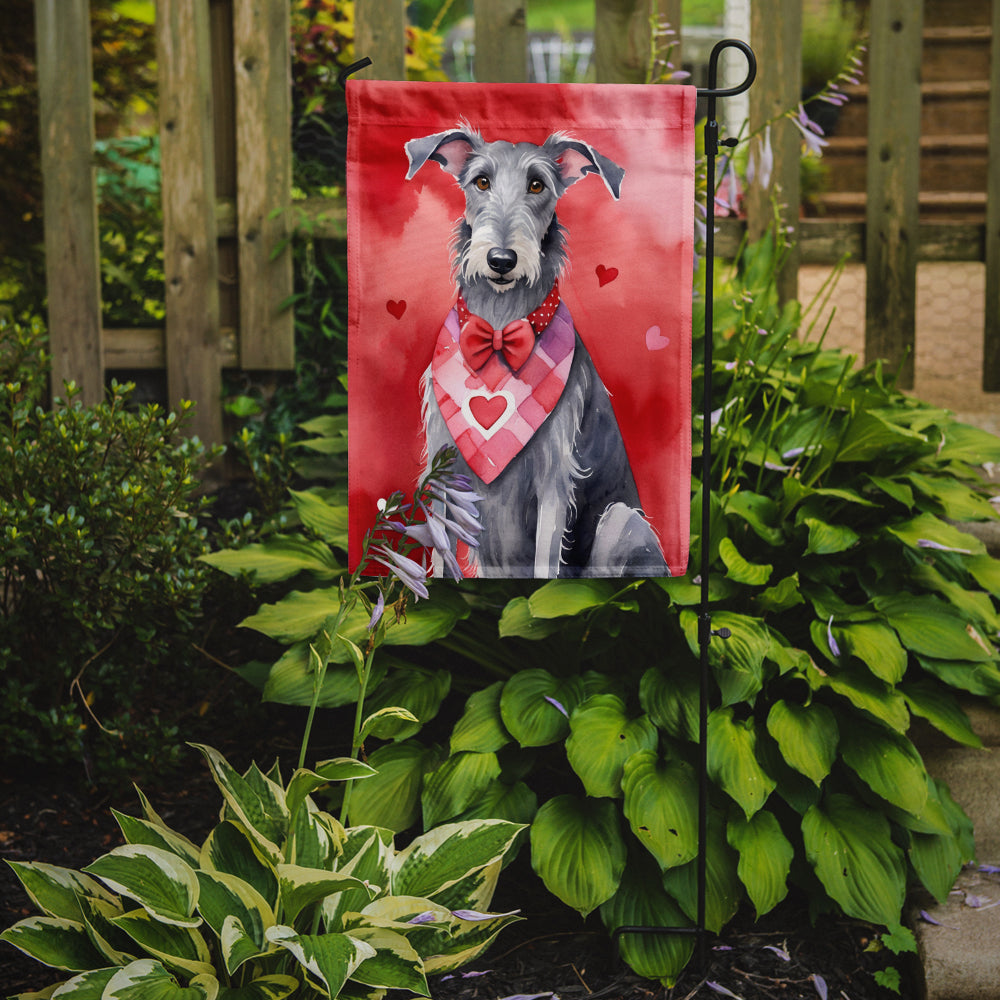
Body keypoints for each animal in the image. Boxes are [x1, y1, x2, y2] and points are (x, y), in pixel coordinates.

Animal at [402, 124, 668, 580]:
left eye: (537, 184)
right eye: (481, 181)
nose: (501, 260)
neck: (499, 327)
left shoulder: (553, 480)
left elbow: (546, 564)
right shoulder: (444, 470)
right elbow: (440, 555)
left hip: (622, 522)